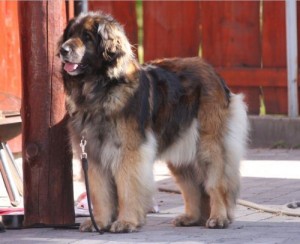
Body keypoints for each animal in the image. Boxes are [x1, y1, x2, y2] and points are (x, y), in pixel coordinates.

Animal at [58, 11, 248, 233]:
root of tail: (215, 74)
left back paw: (218, 217)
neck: (100, 90)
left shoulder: (128, 153)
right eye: (70, 35)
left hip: (209, 147)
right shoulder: (94, 156)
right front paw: (101, 221)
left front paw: (126, 222)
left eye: (87, 37)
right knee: (192, 186)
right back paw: (191, 217)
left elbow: (127, 189)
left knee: (215, 185)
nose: (63, 50)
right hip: (182, 152)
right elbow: (100, 193)